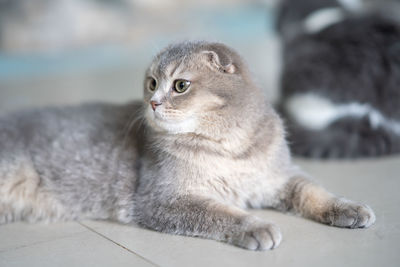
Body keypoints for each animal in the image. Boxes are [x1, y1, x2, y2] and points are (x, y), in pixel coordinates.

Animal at [0, 41, 376, 251]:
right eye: (152, 83)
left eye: (180, 85)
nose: (152, 102)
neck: (230, 149)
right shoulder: (163, 199)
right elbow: (219, 213)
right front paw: (256, 226)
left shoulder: (278, 176)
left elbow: (312, 190)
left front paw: (350, 208)